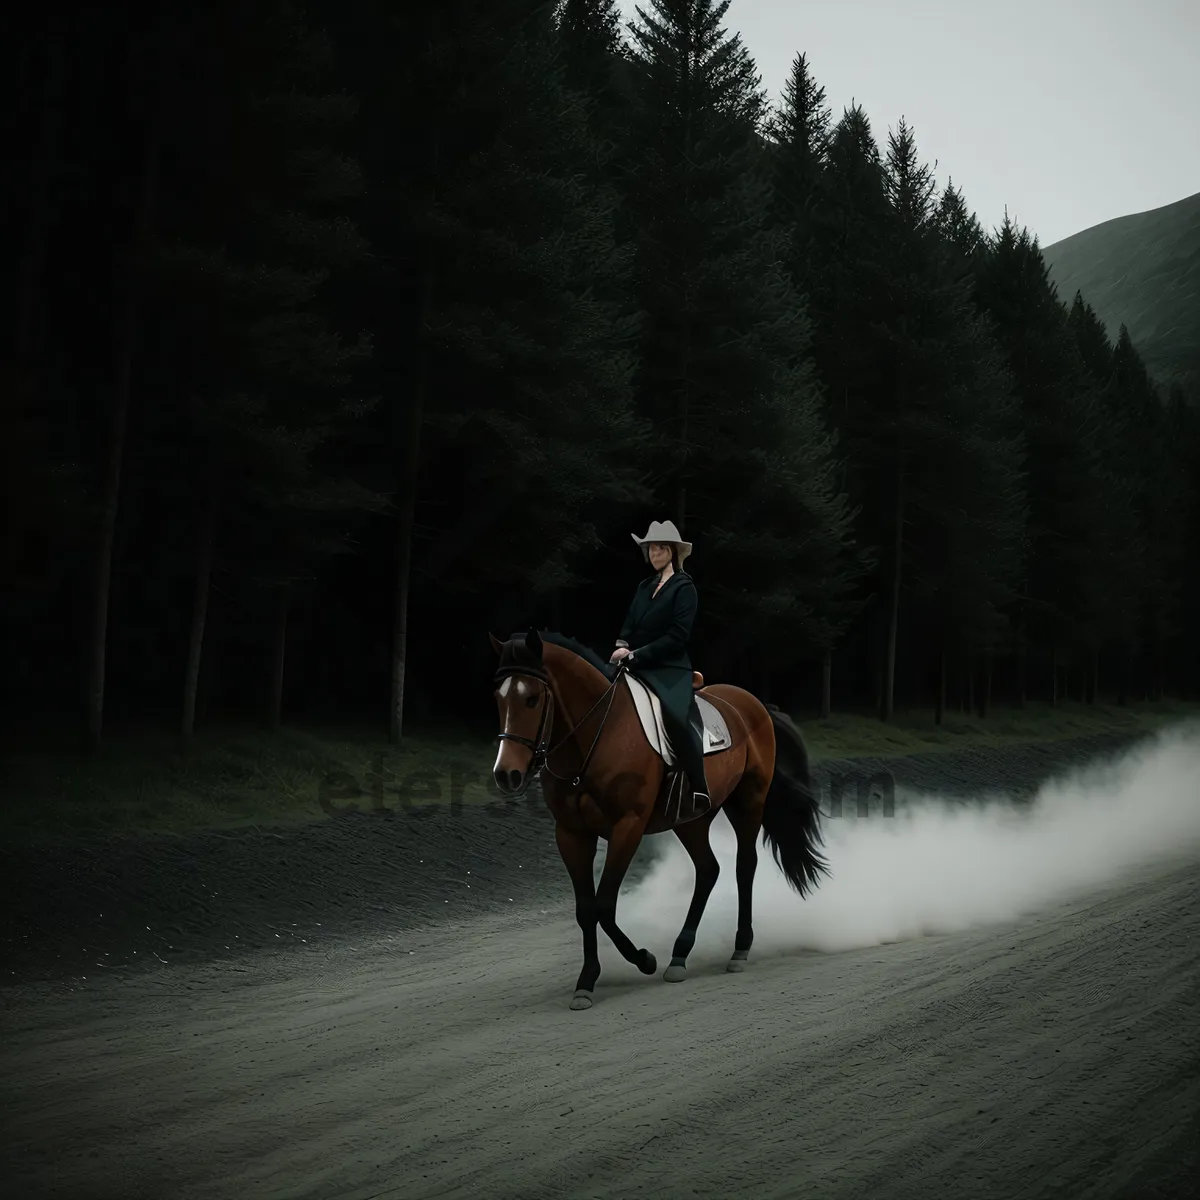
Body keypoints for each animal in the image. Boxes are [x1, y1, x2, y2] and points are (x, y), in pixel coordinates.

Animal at [487, 633, 825, 1008]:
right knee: (708, 870)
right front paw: (586, 981)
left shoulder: (627, 828)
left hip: (748, 801)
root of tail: (755, 703)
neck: (598, 734)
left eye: (532, 699)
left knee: (744, 866)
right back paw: (679, 954)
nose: (506, 774)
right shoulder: (571, 834)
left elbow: (604, 906)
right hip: (691, 819)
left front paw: (644, 959)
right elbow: (585, 909)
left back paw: (739, 949)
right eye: (498, 696)